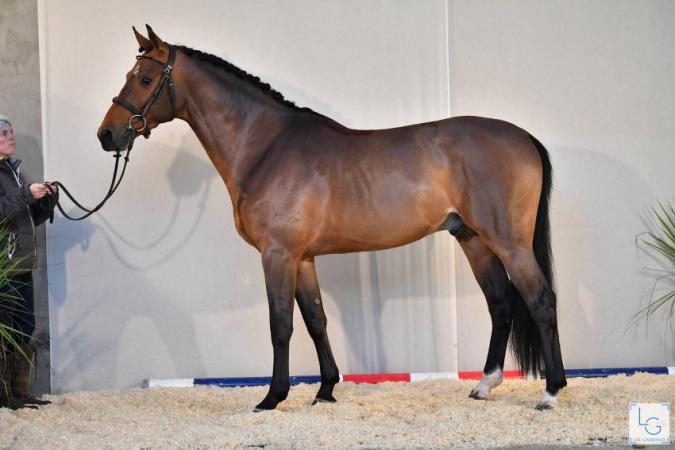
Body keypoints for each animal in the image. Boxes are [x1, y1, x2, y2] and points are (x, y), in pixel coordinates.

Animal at [98, 25, 566, 411]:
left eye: (144, 79)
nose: (107, 134)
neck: (266, 147)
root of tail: (523, 137)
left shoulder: (278, 254)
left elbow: (281, 324)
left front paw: (272, 397)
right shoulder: (303, 258)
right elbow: (316, 321)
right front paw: (325, 390)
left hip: (509, 242)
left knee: (540, 300)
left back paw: (550, 392)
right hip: (473, 239)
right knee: (500, 304)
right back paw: (484, 385)